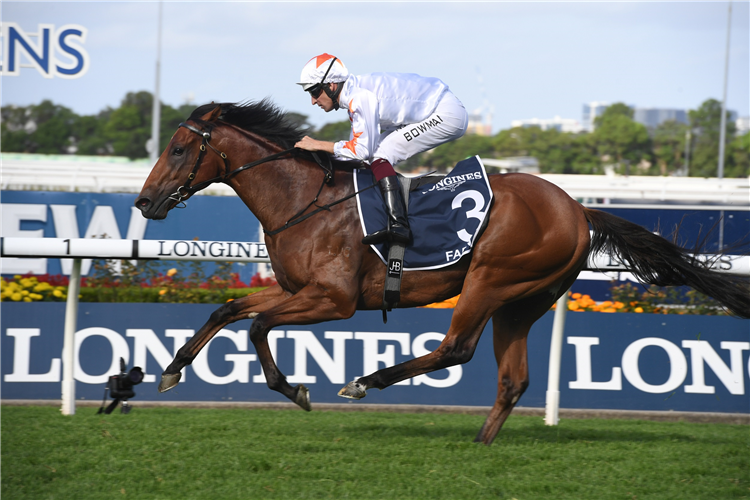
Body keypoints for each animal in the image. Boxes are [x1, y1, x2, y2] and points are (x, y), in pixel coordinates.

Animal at [137, 99, 750, 444]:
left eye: (178, 149)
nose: (144, 202)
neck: (304, 201)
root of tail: (579, 209)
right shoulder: (296, 291)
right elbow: (228, 310)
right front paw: (170, 370)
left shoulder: (332, 300)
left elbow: (258, 327)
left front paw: (294, 389)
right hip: (524, 301)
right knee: (513, 378)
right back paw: (480, 444)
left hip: (491, 280)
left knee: (456, 348)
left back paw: (366, 382)